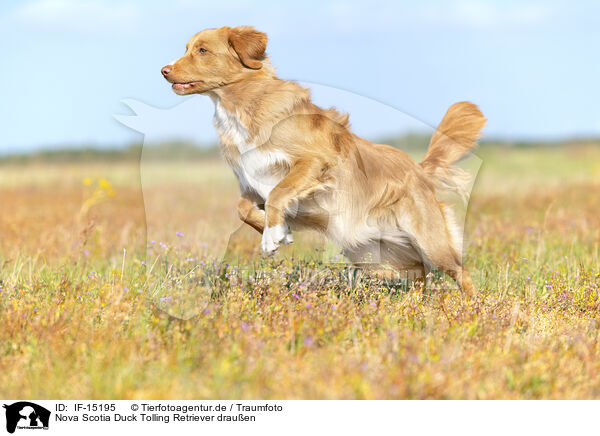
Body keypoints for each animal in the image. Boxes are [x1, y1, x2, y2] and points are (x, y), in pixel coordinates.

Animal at [162, 26, 486, 292]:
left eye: (202, 50)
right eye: (187, 47)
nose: (164, 70)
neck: (244, 106)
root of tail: (418, 170)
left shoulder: (315, 162)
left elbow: (279, 192)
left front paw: (272, 236)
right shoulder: (251, 182)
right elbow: (243, 209)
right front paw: (279, 230)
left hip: (430, 241)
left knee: (458, 271)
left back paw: (470, 307)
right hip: (372, 253)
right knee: (418, 273)